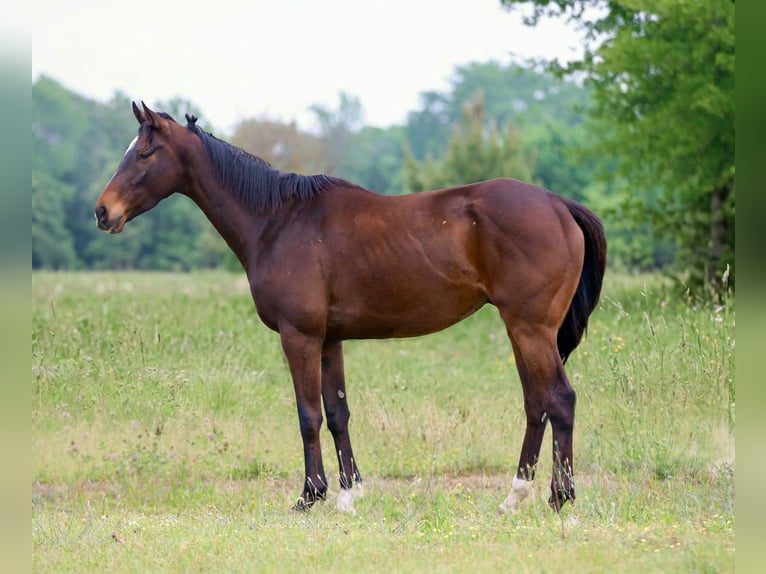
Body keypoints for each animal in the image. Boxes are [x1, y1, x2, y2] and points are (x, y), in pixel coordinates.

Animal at [95, 102, 606, 515]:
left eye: (144, 153)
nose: (103, 211)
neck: (277, 222)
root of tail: (557, 203)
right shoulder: (329, 340)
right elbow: (337, 412)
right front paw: (348, 494)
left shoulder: (299, 337)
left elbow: (309, 415)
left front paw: (309, 495)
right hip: (523, 331)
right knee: (536, 403)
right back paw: (514, 497)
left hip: (530, 329)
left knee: (560, 399)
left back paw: (560, 498)